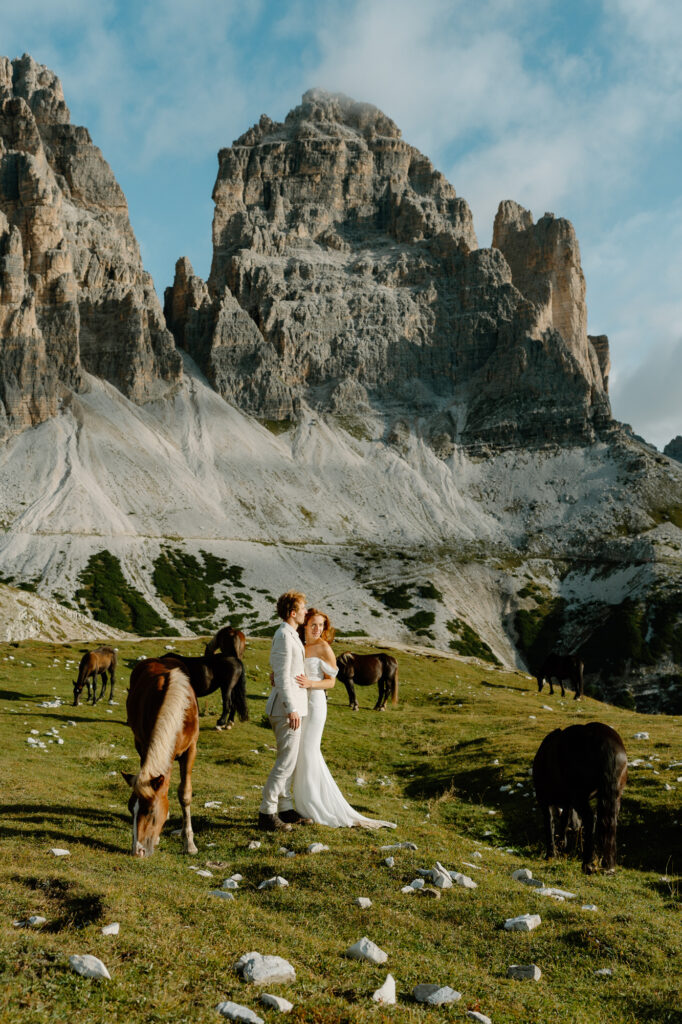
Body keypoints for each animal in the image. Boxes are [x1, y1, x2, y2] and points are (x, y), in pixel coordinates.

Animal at [122, 655, 199, 856]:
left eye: (150, 811)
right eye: (130, 809)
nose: (137, 851)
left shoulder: (191, 749)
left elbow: (185, 794)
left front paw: (189, 842)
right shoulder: (144, 744)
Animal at [532, 720, 626, 872]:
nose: (576, 826)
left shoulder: (544, 800)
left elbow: (550, 824)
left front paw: (551, 854)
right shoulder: (567, 803)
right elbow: (563, 821)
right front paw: (561, 848)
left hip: (579, 797)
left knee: (590, 819)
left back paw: (587, 864)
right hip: (614, 797)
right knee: (609, 822)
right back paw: (607, 866)